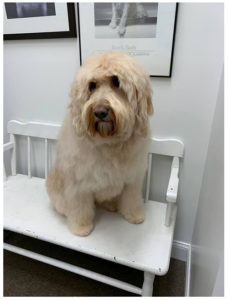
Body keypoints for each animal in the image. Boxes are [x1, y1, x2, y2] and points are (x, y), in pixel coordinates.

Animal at [46, 50, 153, 236]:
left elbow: (132, 198)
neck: (109, 142)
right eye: (92, 85)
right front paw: (81, 227)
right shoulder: (78, 183)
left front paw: (134, 215)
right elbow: (79, 207)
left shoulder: (132, 178)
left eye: (117, 81)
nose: (100, 111)